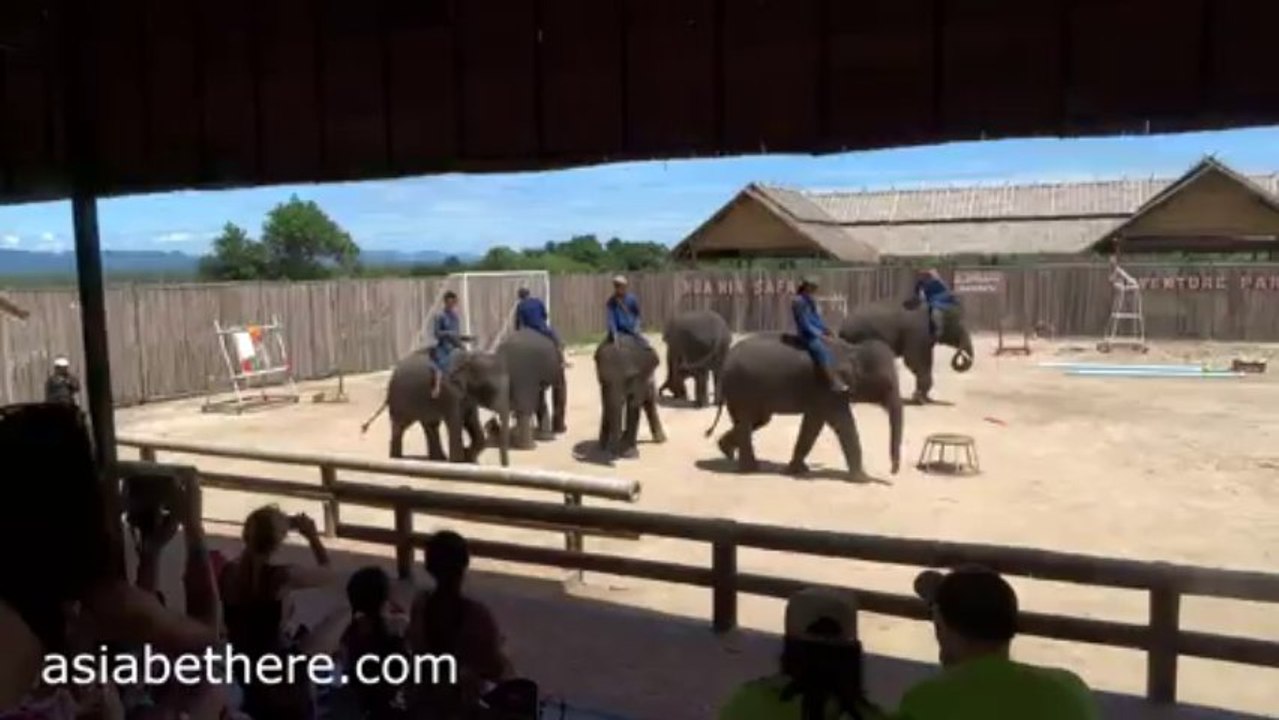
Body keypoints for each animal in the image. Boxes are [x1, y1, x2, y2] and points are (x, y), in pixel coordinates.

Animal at [361, 349, 511, 466]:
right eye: (491, 390)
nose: (504, 466)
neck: (469, 358)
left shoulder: (467, 397)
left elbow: (472, 421)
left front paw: (470, 459)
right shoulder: (449, 393)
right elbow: (455, 421)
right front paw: (459, 461)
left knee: (430, 425)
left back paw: (438, 459)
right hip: (400, 399)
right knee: (400, 426)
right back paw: (397, 458)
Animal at [705, 333, 903, 482]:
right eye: (887, 384)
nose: (892, 471)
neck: (852, 350)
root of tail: (726, 361)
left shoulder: (826, 393)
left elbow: (814, 423)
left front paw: (798, 469)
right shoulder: (828, 388)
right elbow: (841, 423)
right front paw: (863, 480)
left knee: (757, 421)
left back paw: (727, 451)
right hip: (741, 389)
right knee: (747, 421)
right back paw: (750, 469)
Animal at [838, 299, 975, 404]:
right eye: (959, 324)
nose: (964, 357)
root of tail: (842, 326)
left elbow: (925, 360)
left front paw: (925, 399)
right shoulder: (918, 333)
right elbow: (914, 360)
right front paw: (920, 400)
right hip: (860, 338)